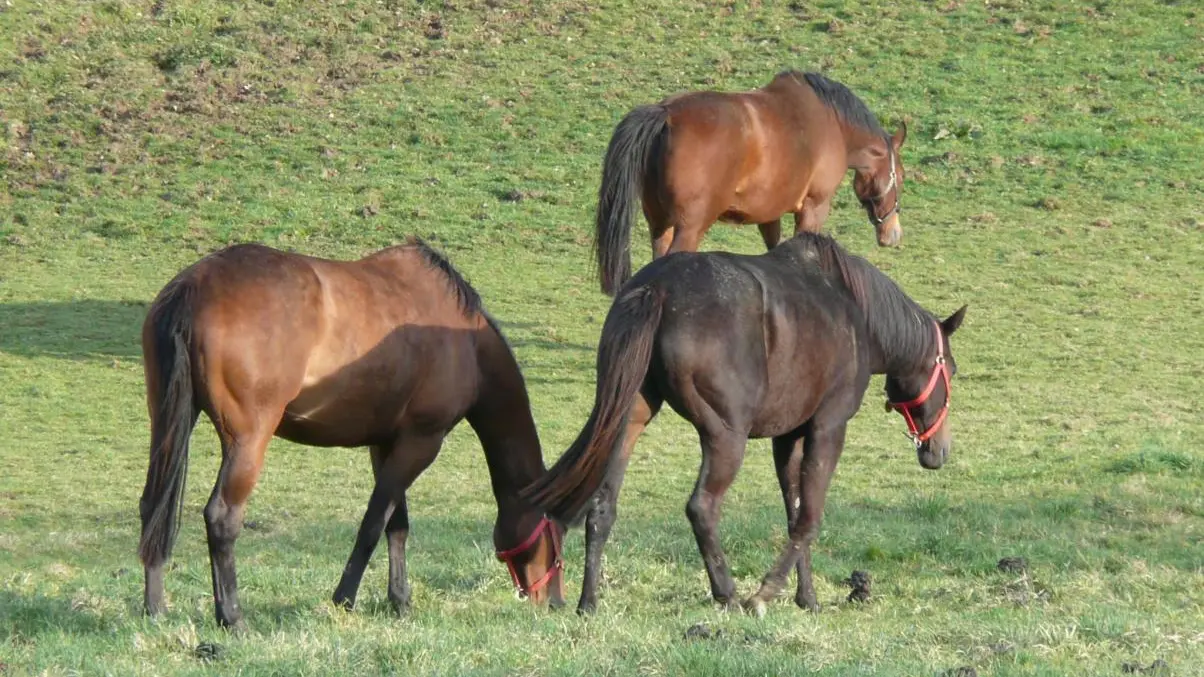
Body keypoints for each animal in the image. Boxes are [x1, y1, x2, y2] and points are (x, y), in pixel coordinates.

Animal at [137, 238, 563, 626]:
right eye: (557, 531)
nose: (555, 601)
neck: (467, 341)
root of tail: (195, 286)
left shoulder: (387, 444)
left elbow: (396, 525)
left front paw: (400, 600)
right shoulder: (421, 442)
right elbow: (373, 524)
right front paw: (345, 598)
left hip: (165, 425)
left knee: (151, 505)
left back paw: (155, 608)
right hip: (248, 442)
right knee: (222, 518)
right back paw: (232, 616)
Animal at [522, 230, 963, 611]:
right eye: (952, 370)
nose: (939, 450)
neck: (853, 309)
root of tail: (658, 288)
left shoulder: (788, 436)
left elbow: (794, 513)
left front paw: (807, 597)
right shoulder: (828, 427)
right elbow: (809, 517)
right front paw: (766, 593)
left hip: (627, 420)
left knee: (602, 507)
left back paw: (589, 601)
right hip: (725, 437)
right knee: (702, 507)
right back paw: (728, 594)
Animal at [592, 69, 905, 296]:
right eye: (900, 176)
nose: (893, 233)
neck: (832, 125)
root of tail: (666, 114)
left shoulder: (769, 215)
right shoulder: (814, 208)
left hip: (659, 224)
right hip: (690, 227)